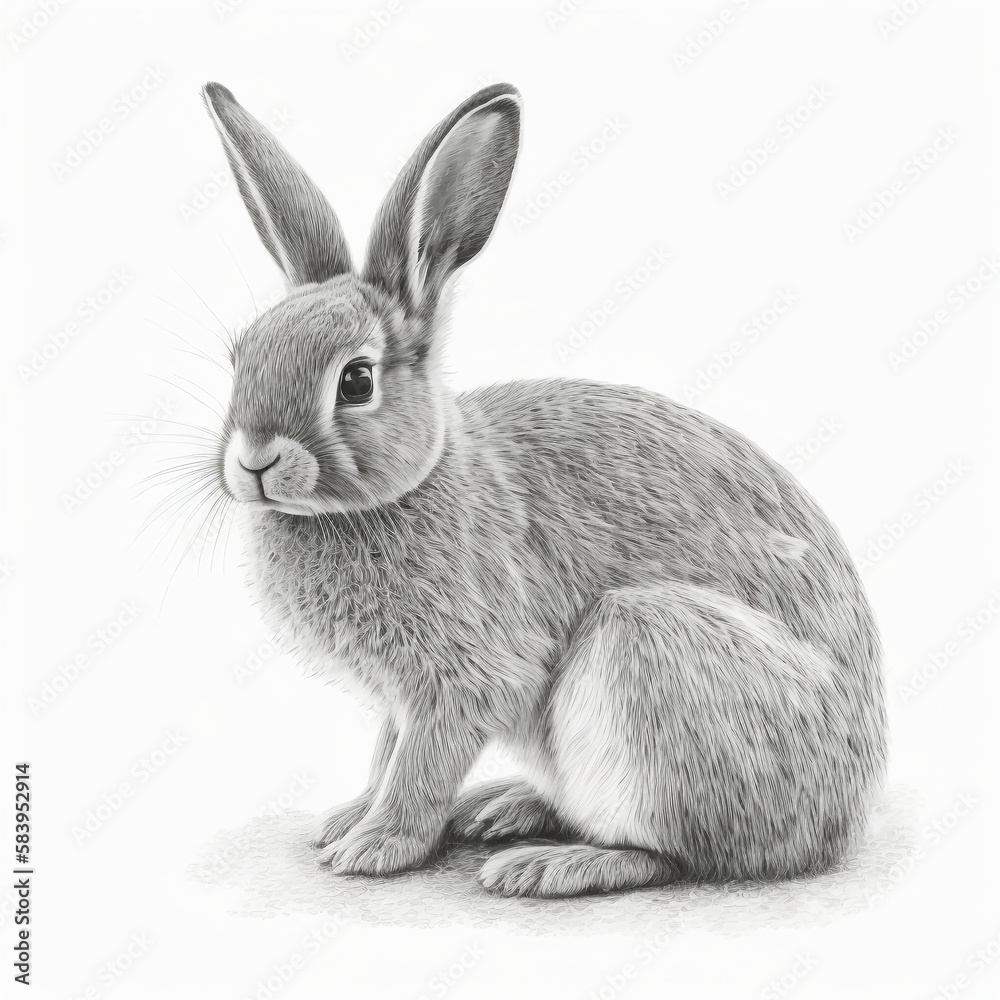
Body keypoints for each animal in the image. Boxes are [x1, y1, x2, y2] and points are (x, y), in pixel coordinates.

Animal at [199, 80, 886, 898]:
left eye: (356, 379)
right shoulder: (402, 698)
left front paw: (377, 845)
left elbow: (420, 766)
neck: (414, 481)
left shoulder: (466, 677)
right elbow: (386, 751)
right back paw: (506, 807)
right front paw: (349, 819)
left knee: (675, 854)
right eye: (240, 356)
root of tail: (846, 813)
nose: (254, 461)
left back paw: (548, 863)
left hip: (653, 654)